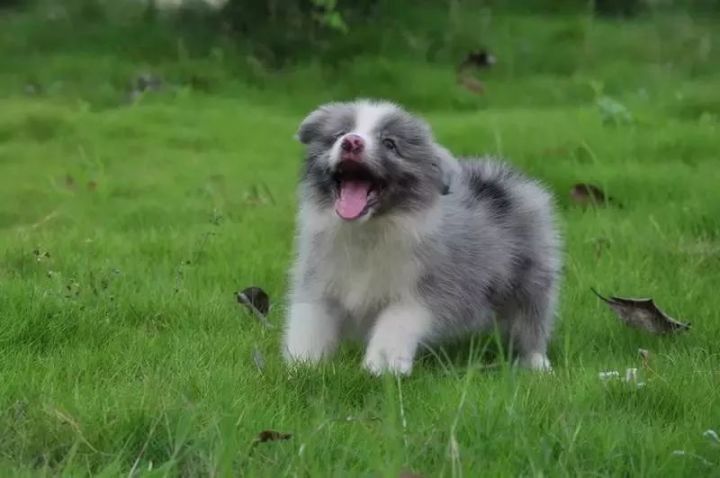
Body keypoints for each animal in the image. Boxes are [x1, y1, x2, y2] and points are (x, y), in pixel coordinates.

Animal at [282, 101, 564, 376]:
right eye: (339, 134)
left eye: (390, 143)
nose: (351, 142)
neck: (368, 230)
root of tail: (498, 183)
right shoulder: (320, 281)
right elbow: (309, 323)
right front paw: (302, 366)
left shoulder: (424, 289)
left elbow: (395, 322)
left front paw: (382, 365)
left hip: (531, 279)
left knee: (532, 320)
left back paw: (537, 364)